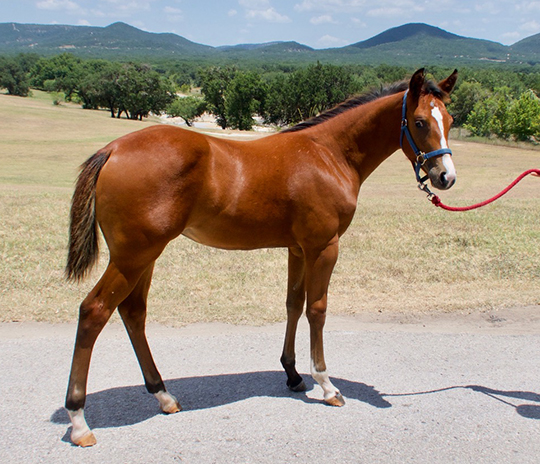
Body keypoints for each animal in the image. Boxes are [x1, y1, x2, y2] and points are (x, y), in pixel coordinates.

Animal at [65, 68, 458, 446]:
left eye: (450, 120)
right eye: (420, 122)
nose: (445, 177)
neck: (328, 154)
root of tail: (113, 149)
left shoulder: (298, 249)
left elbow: (293, 303)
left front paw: (293, 374)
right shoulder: (324, 247)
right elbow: (317, 309)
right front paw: (326, 384)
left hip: (143, 257)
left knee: (133, 312)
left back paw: (164, 396)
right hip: (133, 256)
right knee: (94, 312)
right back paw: (79, 421)